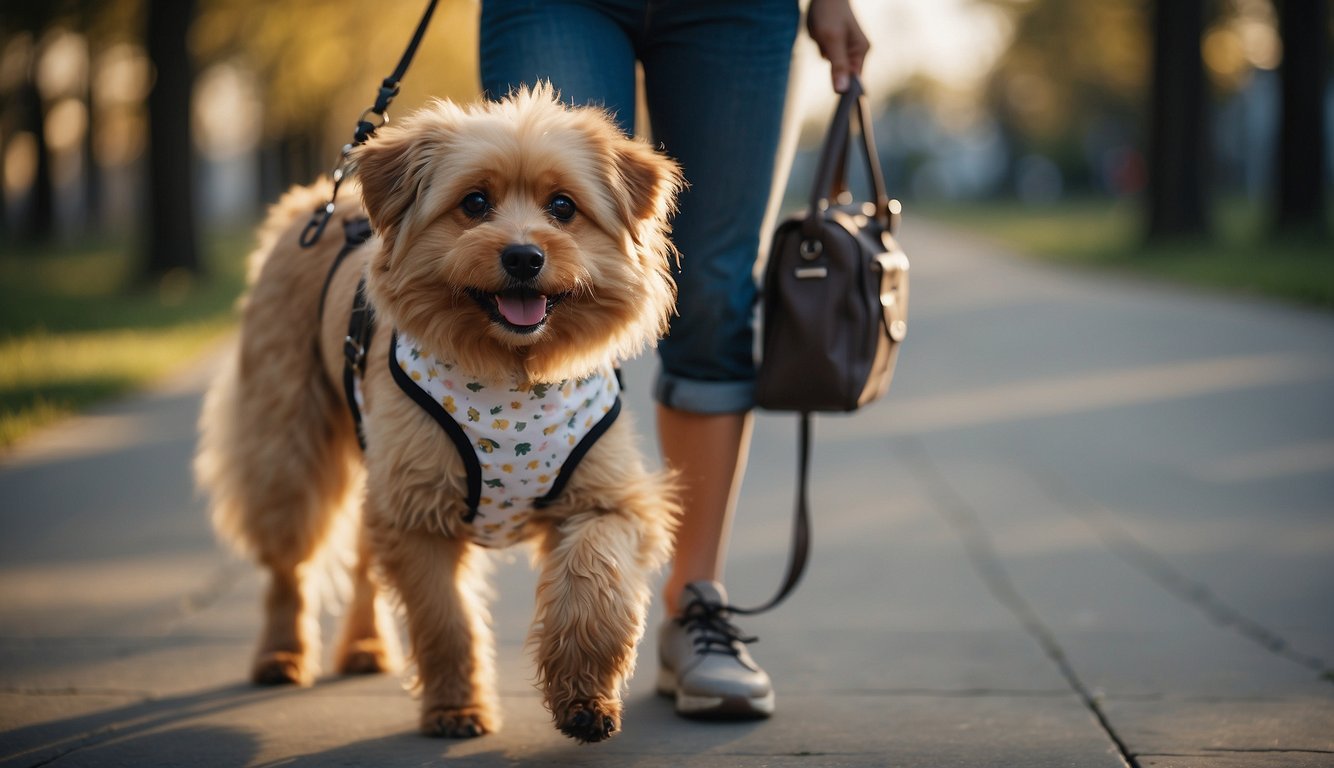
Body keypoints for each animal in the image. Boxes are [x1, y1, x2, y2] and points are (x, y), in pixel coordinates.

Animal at [194, 85, 688, 746]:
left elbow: (595, 578)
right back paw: (281, 653)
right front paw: (456, 708)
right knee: (289, 567)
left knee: (362, 561)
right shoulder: (417, 510)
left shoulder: (607, 500)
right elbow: (444, 619)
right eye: (474, 203)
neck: (512, 373)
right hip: (288, 455)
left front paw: (585, 695)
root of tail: (315, 201)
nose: (524, 257)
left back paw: (365, 647)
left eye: (563, 207)